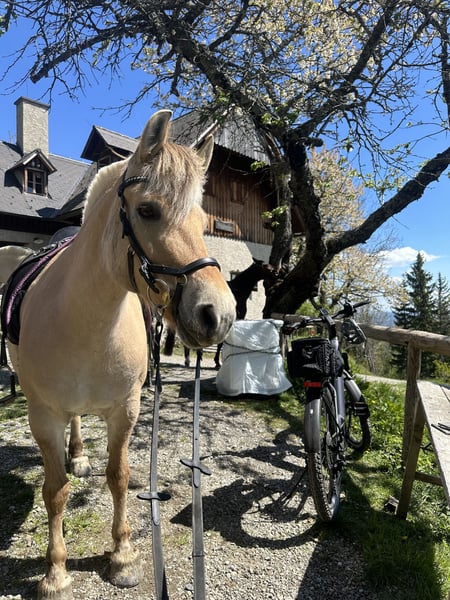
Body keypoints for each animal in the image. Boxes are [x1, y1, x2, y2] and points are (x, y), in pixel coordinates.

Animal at [3, 110, 236, 600]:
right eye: (147, 211)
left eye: (204, 218)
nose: (218, 315)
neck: (88, 321)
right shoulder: (43, 415)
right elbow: (55, 491)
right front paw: (56, 573)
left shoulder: (125, 409)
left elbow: (120, 477)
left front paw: (123, 554)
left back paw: (79, 454)